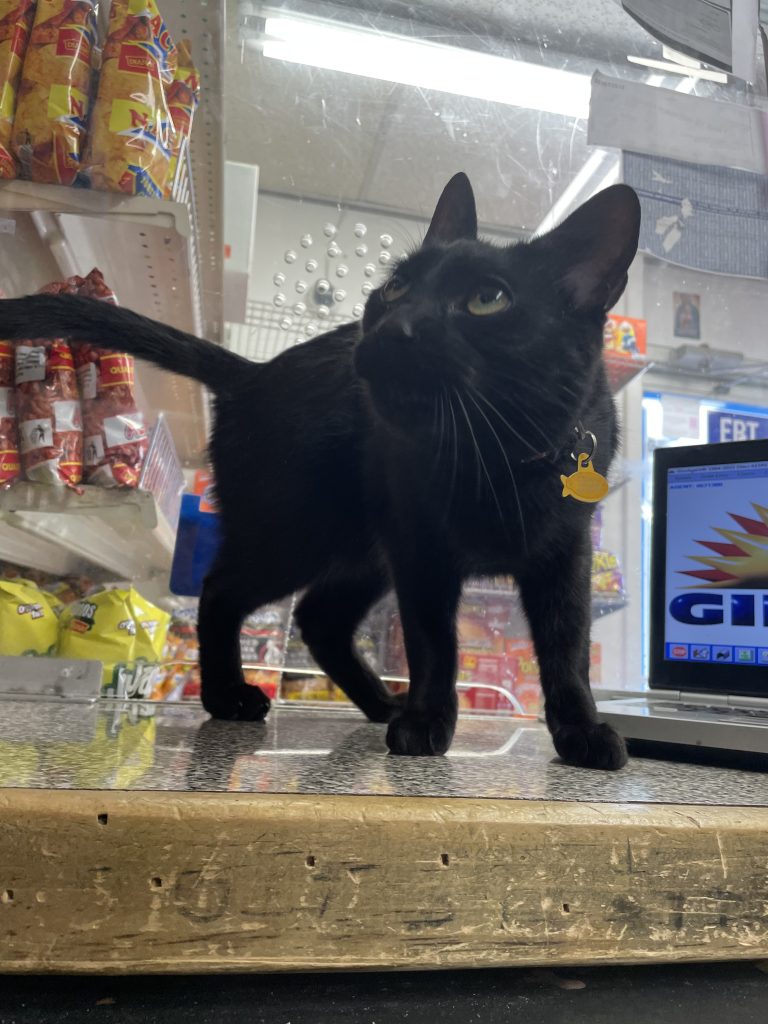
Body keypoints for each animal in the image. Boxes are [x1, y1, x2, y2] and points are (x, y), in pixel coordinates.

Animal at [0, 174, 638, 770]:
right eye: (397, 287)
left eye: (488, 299)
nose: (393, 324)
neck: (497, 455)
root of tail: (254, 373)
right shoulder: (422, 553)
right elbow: (434, 644)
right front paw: (427, 722)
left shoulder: (565, 556)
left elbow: (567, 649)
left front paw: (582, 731)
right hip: (296, 536)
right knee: (223, 590)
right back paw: (230, 697)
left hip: (360, 551)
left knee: (319, 619)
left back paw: (382, 702)